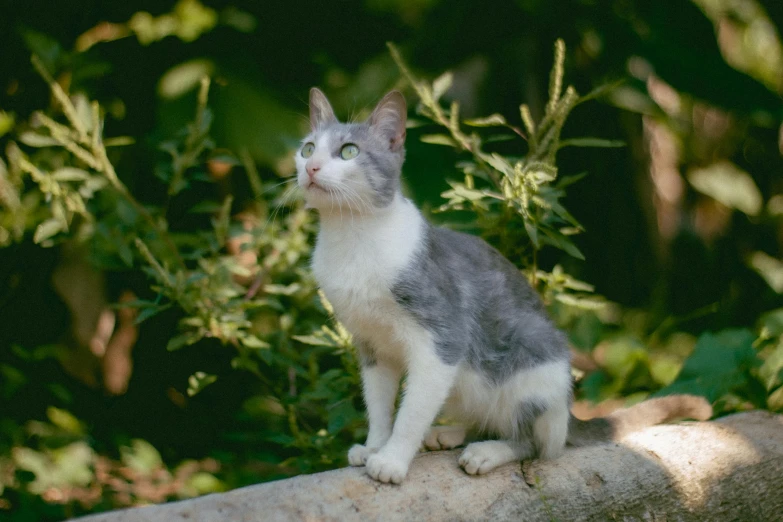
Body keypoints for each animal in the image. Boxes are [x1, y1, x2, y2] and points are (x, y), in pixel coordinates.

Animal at [294, 87, 712, 482]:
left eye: (349, 152)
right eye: (308, 148)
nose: (311, 167)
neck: (353, 238)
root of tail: (568, 410)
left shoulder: (442, 337)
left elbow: (412, 409)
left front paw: (393, 460)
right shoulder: (372, 344)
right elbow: (379, 402)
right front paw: (374, 446)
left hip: (533, 355)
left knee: (539, 444)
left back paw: (487, 452)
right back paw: (450, 433)